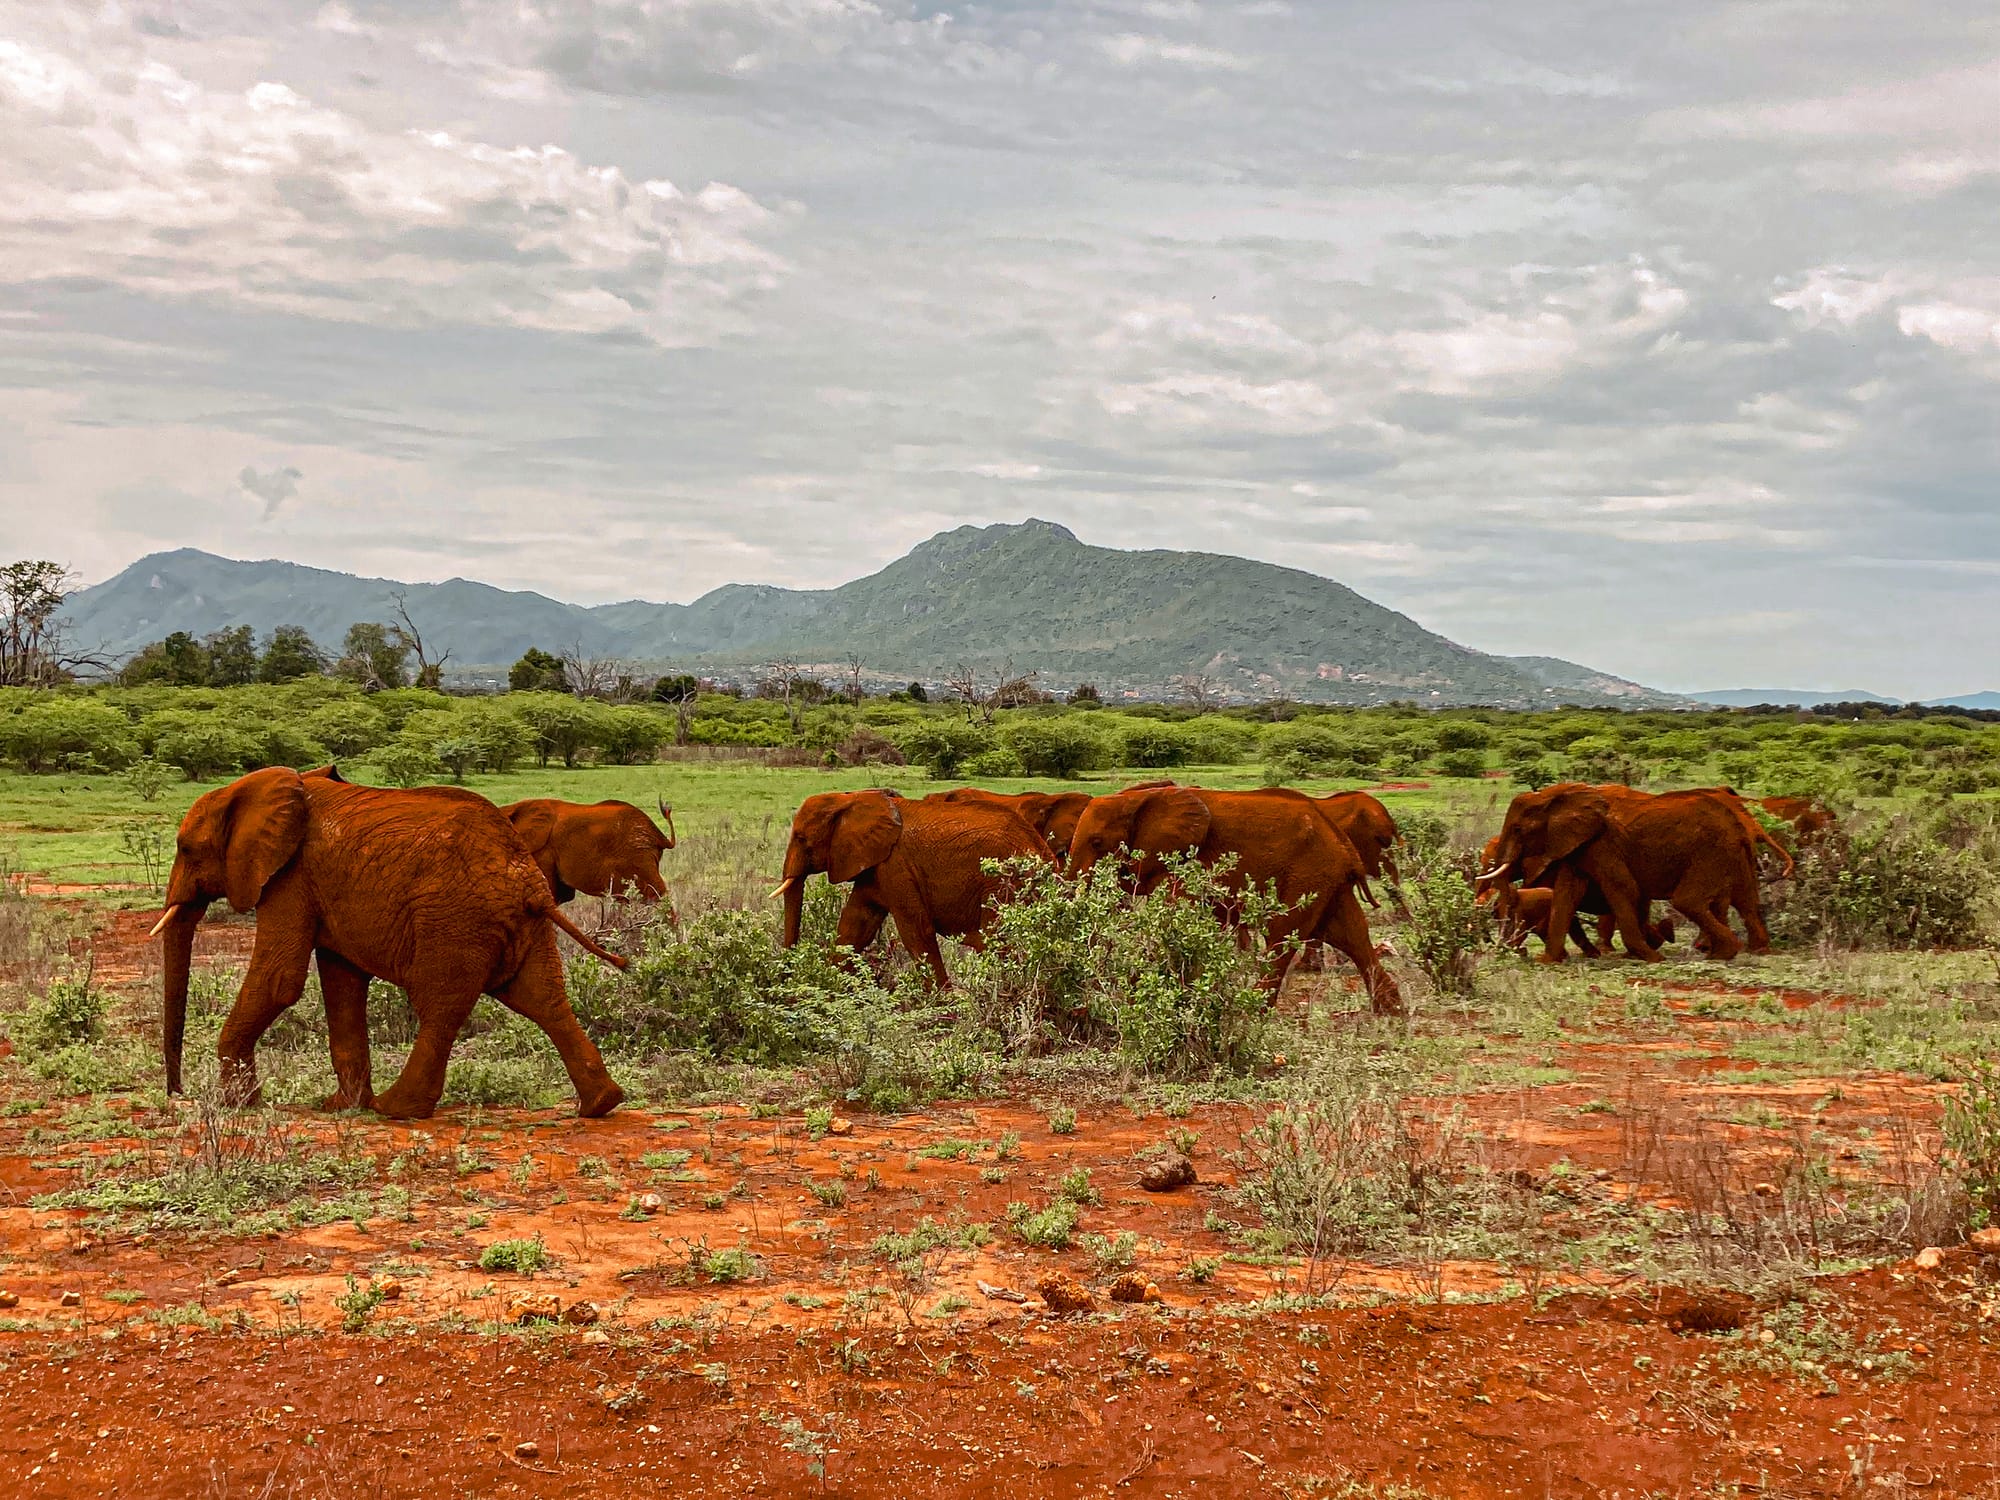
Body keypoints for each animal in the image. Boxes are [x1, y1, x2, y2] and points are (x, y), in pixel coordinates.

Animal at [152, 766, 628, 1120]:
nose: (178, 1094)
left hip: (453, 919)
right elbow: (342, 984)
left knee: (440, 1005)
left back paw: (397, 1109)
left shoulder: (291, 878)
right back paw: (601, 1104)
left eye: (186, 848)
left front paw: (238, 1104)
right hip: (519, 923)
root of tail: (528, 880)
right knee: (543, 998)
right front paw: (340, 1106)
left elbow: (278, 980)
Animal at [773, 789, 1055, 985]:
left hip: (1005, 882)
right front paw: (828, 986)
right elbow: (855, 925)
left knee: (1000, 940)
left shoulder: (897, 865)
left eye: (801, 838)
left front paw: (944, 1009)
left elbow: (916, 930)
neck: (852, 798)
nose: (786, 982)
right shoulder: (876, 865)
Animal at [1066, 784, 1401, 1013]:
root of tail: (1344, 847)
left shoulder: (1187, 860)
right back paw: (1390, 1012)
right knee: (1352, 935)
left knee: (1282, 935)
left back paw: (1251, 1009)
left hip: (1308, 873)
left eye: (1096, 842)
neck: (1135, 800)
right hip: (1326, 878)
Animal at [1482, 783, 1768, 963]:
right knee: (1747, 901)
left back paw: (1723, 953)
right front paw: (1547, 961)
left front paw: (1652, 958)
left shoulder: (1604, 843)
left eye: (1518, 829)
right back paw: (1754, 950)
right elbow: (1566, 894)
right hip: (1732, 854)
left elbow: (1623, 888)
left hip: (1711, 850)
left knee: (1688, 901)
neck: (1558, 795)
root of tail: (1740, 823)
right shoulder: (1579, 845)